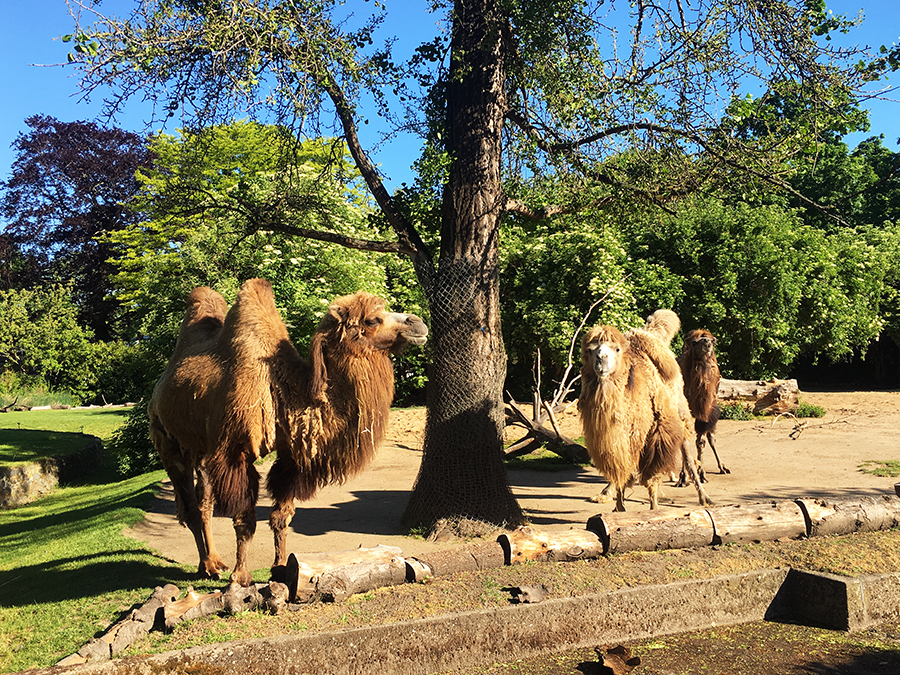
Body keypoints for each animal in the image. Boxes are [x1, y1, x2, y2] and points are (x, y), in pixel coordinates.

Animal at [149, 278, 428, 588]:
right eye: (372, 319)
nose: (418, 323)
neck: (283, 393)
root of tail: (159, 388)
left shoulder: (290, 456)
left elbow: (281, 517)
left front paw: (281, 567)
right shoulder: (235, 451)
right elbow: (244, 519)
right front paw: (241, 576)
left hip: (202, 450)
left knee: (203, 503)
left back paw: (215, 562)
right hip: (168, 442)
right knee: (189, 507)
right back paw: (207, 566)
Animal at [580, 312, 712, 512]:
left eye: (617, 349)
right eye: (590, 350)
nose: (601, 359)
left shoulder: (656, 431)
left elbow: (652, 478)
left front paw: (654, 510)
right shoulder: (624, 439)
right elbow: (622, 472)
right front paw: (618, 508)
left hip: (680, 412)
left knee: (688, 455)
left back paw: (703, 497)